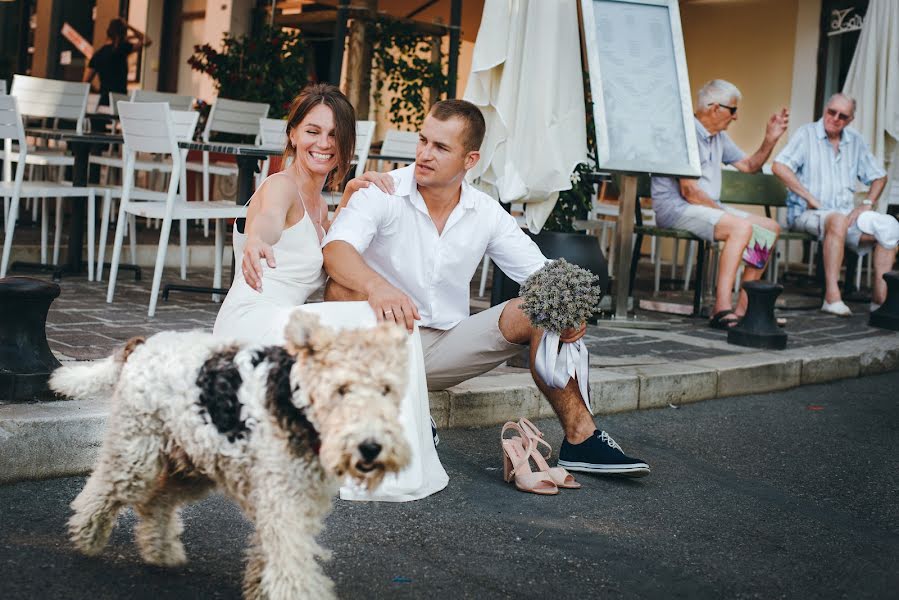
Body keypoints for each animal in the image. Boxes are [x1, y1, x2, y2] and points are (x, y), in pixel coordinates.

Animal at [51, 312, 410, 596]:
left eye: (387, 389)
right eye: (341, 389)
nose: (371, 447)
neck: (298, 402)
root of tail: (141, 345)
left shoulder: (291, 500)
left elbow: (271, 556)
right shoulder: (284, 504)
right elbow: (292, 568)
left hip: (193, 463)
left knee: (157, 502)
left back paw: (160, 551)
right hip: (135, 454)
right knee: (101, 492)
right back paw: (86, 537)